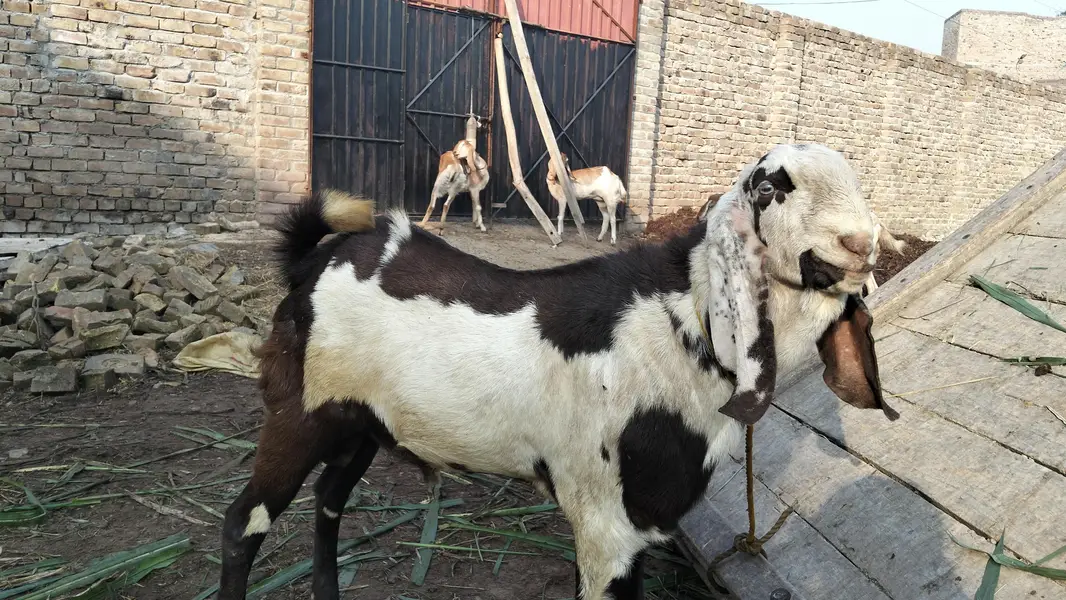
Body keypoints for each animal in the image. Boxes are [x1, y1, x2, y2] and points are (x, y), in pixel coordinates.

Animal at [219, 143, 900, 600]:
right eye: (768, 187)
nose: (857, 244)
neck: (682, 324)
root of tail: (312, 259)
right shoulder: (605, 524)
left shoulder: (640, 526)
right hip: (298, 411)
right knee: (244, 521)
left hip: (358, 425)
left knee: (328, 504)